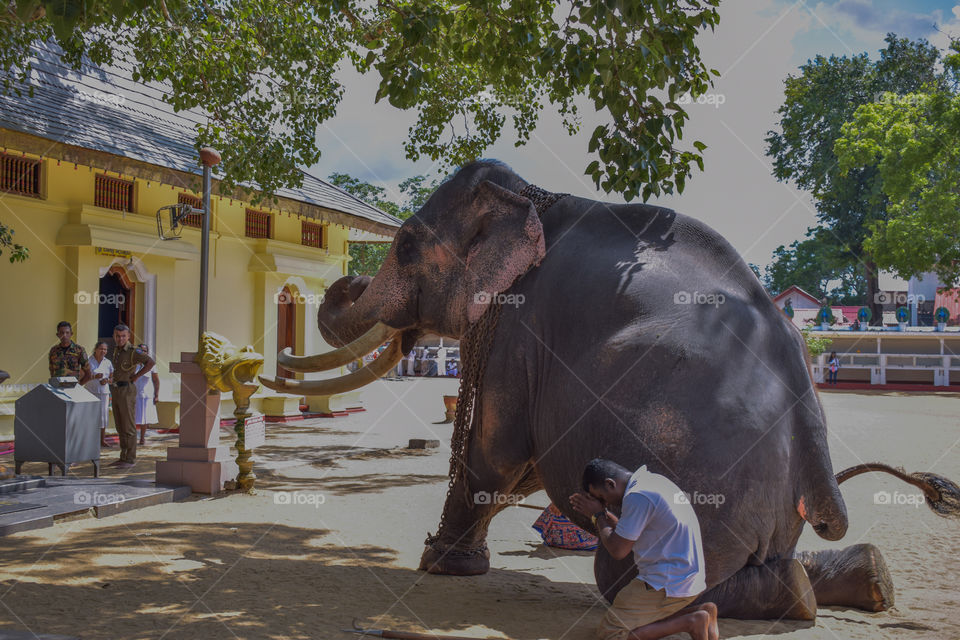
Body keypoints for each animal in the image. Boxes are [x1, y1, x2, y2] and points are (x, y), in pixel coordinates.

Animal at [258, 160, 956, 620]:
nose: (343, 280)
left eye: (404, 244)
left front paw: (441, 564)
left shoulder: (522, 328)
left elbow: (496, 454)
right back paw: (867, 581)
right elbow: (523, 466)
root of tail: (810, 429)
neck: (534, 195)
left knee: (637, 577)